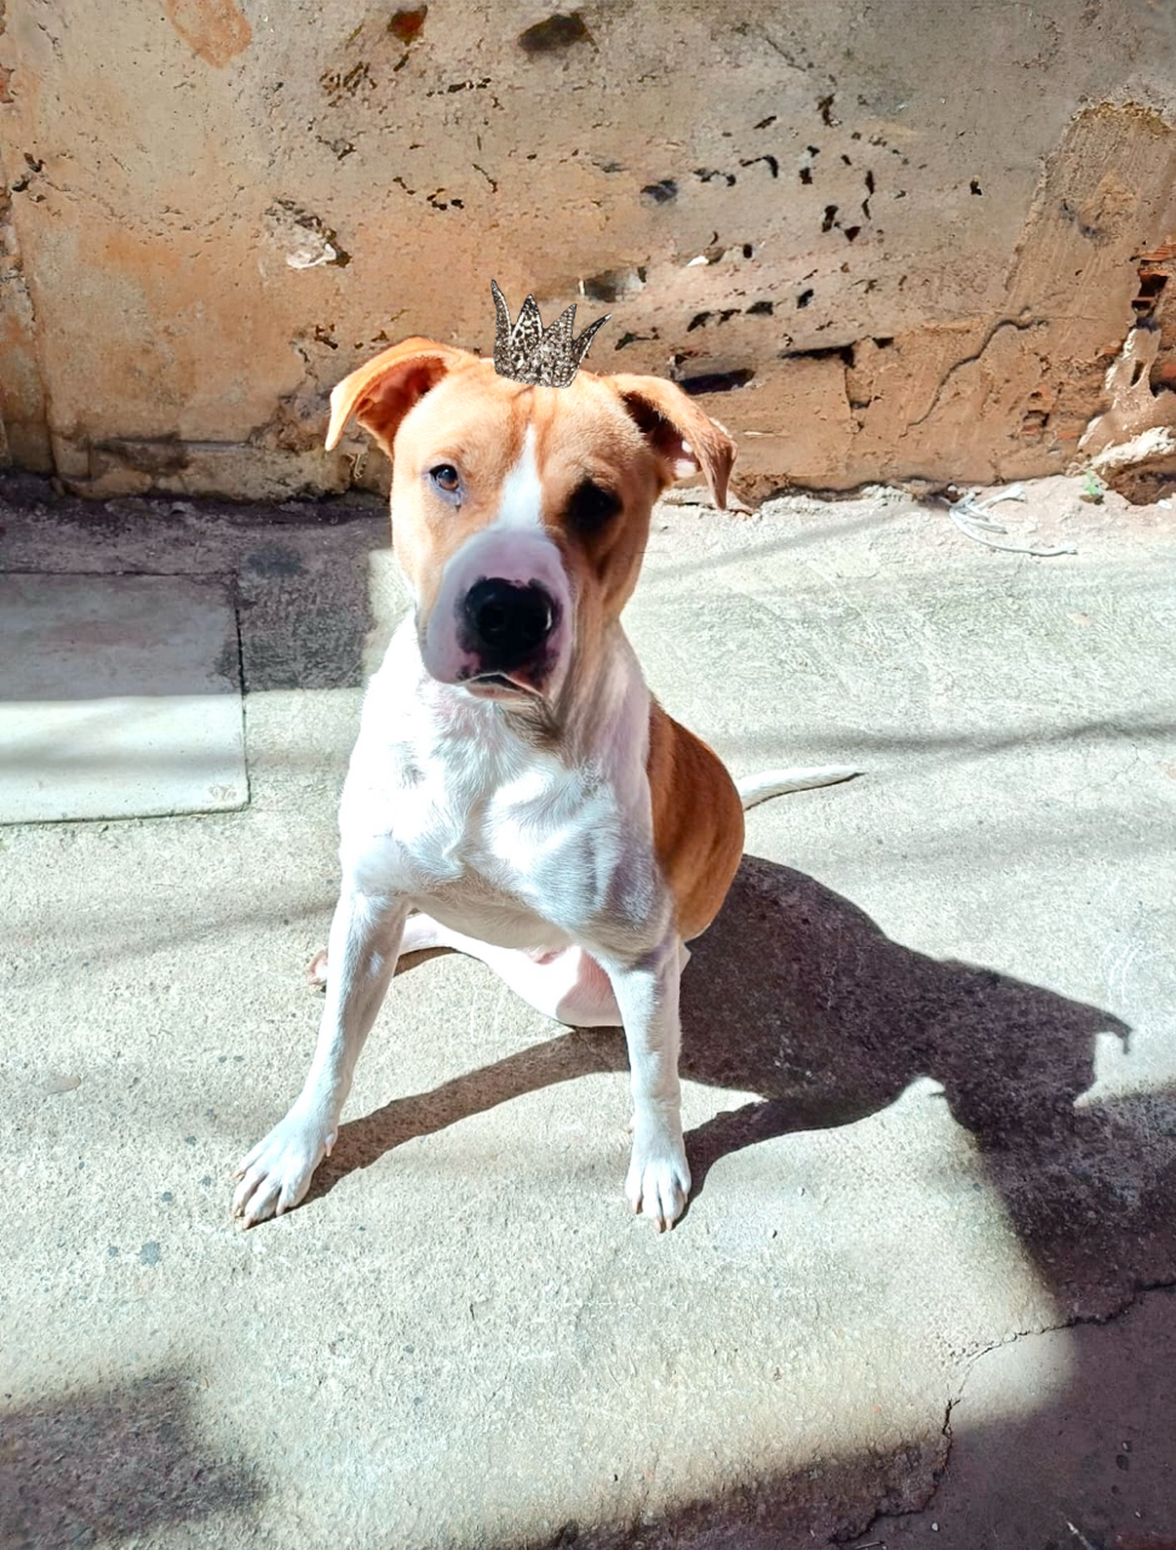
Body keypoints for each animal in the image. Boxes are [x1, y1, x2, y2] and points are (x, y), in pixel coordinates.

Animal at [231, 330, 851, 1230]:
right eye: (445, 475)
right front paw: (294, 1149)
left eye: (595, 502)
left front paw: (660, 1165)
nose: (509, 611)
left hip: (591, 986)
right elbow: (334, 1051)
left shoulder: (639, 965)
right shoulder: (375, 890)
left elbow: (656, 1083)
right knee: (444, 927)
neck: (484, 741)